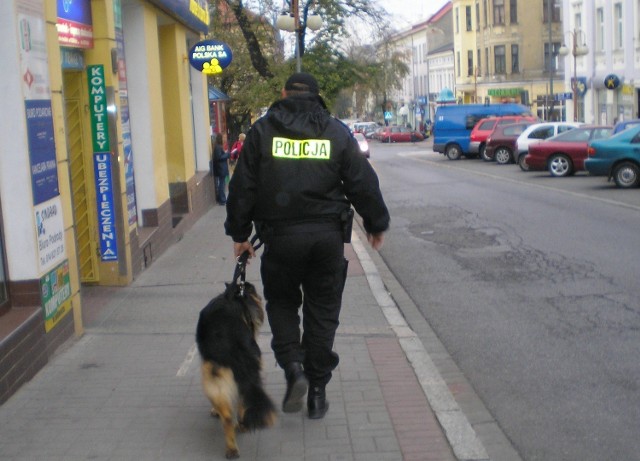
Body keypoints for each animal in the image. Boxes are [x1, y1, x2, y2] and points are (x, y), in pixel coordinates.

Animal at [195, 280, 276, 456]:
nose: (260, 298)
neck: (234, 296)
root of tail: (232, 345)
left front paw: (214, 410)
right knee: (241, 403)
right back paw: (241, 427)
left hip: (210, 374)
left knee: (227, 416)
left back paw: (231, 447)